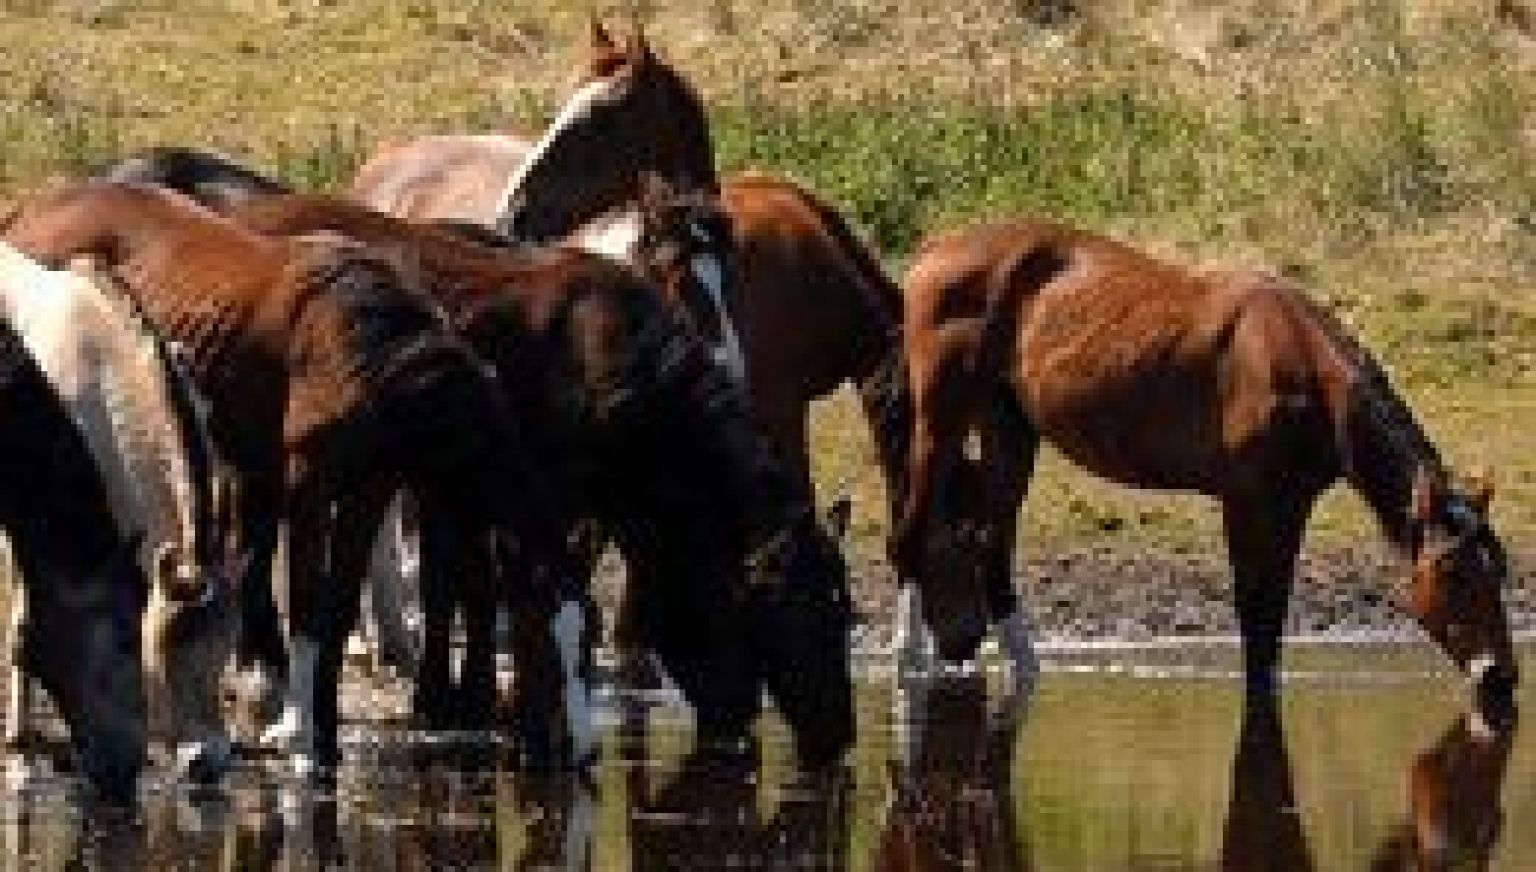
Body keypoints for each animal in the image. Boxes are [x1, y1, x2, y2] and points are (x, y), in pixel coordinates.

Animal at [897, 216, 1517, 709]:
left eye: (1500, 570)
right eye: (1455, 572)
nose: (1502, 678)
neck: (1304, 371)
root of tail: (933, 250)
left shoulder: (1291, 507)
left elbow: (1271, 620)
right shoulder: (1244, 504)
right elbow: (1253, 616)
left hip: (1010, 427)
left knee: (993, 546)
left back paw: (1025, 667)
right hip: (941, 422)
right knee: (913, 532)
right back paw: (909, 662)